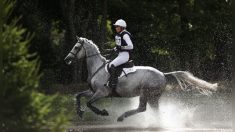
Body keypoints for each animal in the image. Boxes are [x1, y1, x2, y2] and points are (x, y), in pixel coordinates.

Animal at [63, 36, 218, 121]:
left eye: (76, 47)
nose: (67, 59)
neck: (97, 68)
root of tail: (163, 74)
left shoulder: (102, 92)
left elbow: (89, 103)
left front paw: (102, 112)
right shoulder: (93, 91)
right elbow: (78, 95)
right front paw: (79, 112)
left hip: (146, 93)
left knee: (142, 108)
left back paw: (122, 117)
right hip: (153, 97)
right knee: (153, 110)